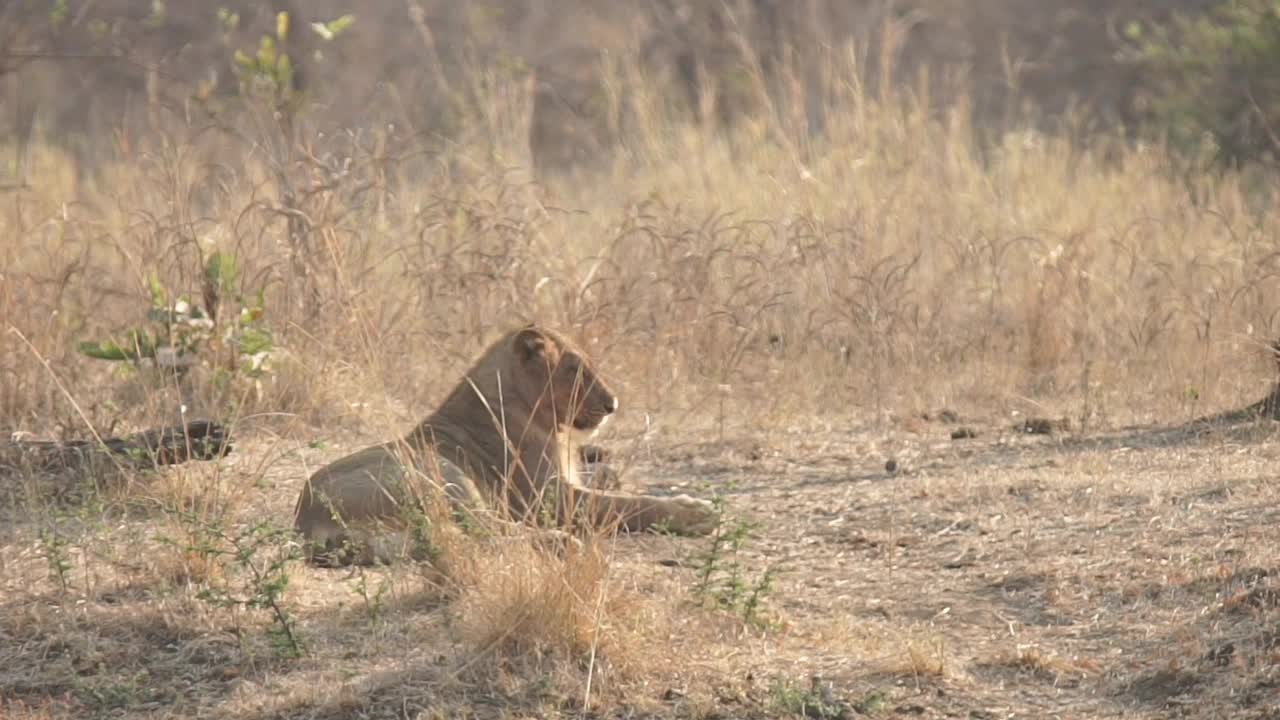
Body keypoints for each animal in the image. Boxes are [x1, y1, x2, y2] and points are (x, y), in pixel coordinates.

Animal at [293, 322, 727, 563]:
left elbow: (609, 479)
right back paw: (558, 541)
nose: (612, 405)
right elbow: (625, 505)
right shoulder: (549, 498)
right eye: (575, 369)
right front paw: (694, 511)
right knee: (484, 529)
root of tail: (306, 519)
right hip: (438, 472)